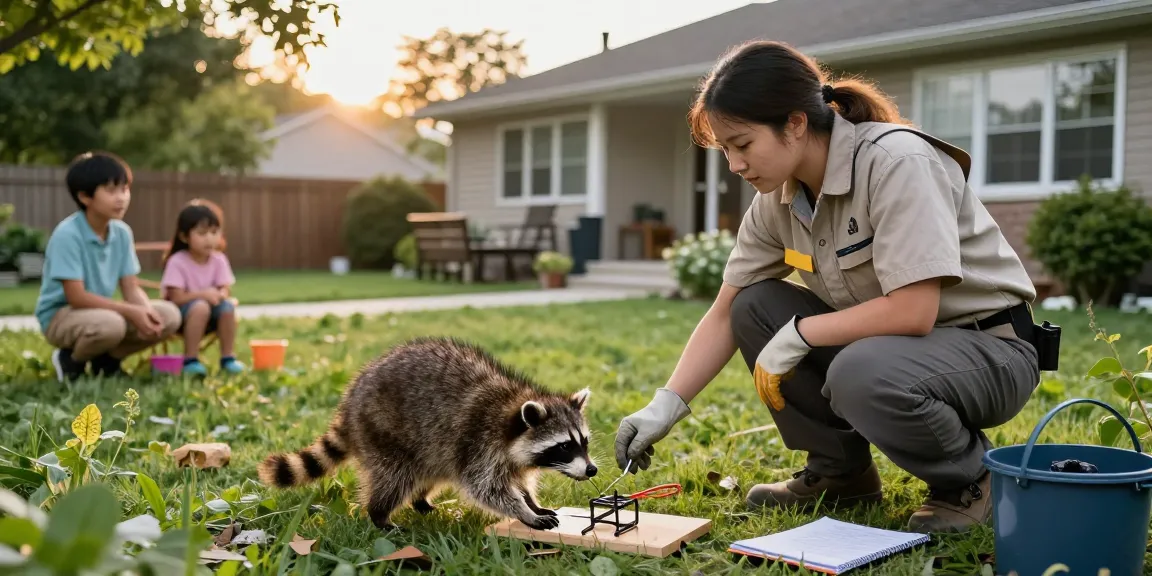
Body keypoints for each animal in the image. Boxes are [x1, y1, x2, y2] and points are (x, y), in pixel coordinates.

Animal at [257, 336, 597, 531]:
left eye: (583, 442)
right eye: (564, 446)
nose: (592, 469)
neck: (511, 410)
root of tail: (348, 405)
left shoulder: (508, 455)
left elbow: (519, 481)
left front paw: (531, 501)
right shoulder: (479, 443)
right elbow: (487, 489)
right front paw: (524, 512)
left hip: (432, 448)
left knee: (430, 470)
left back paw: (420, 500)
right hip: (383, 432)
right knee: (394, 478)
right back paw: (379, 514)